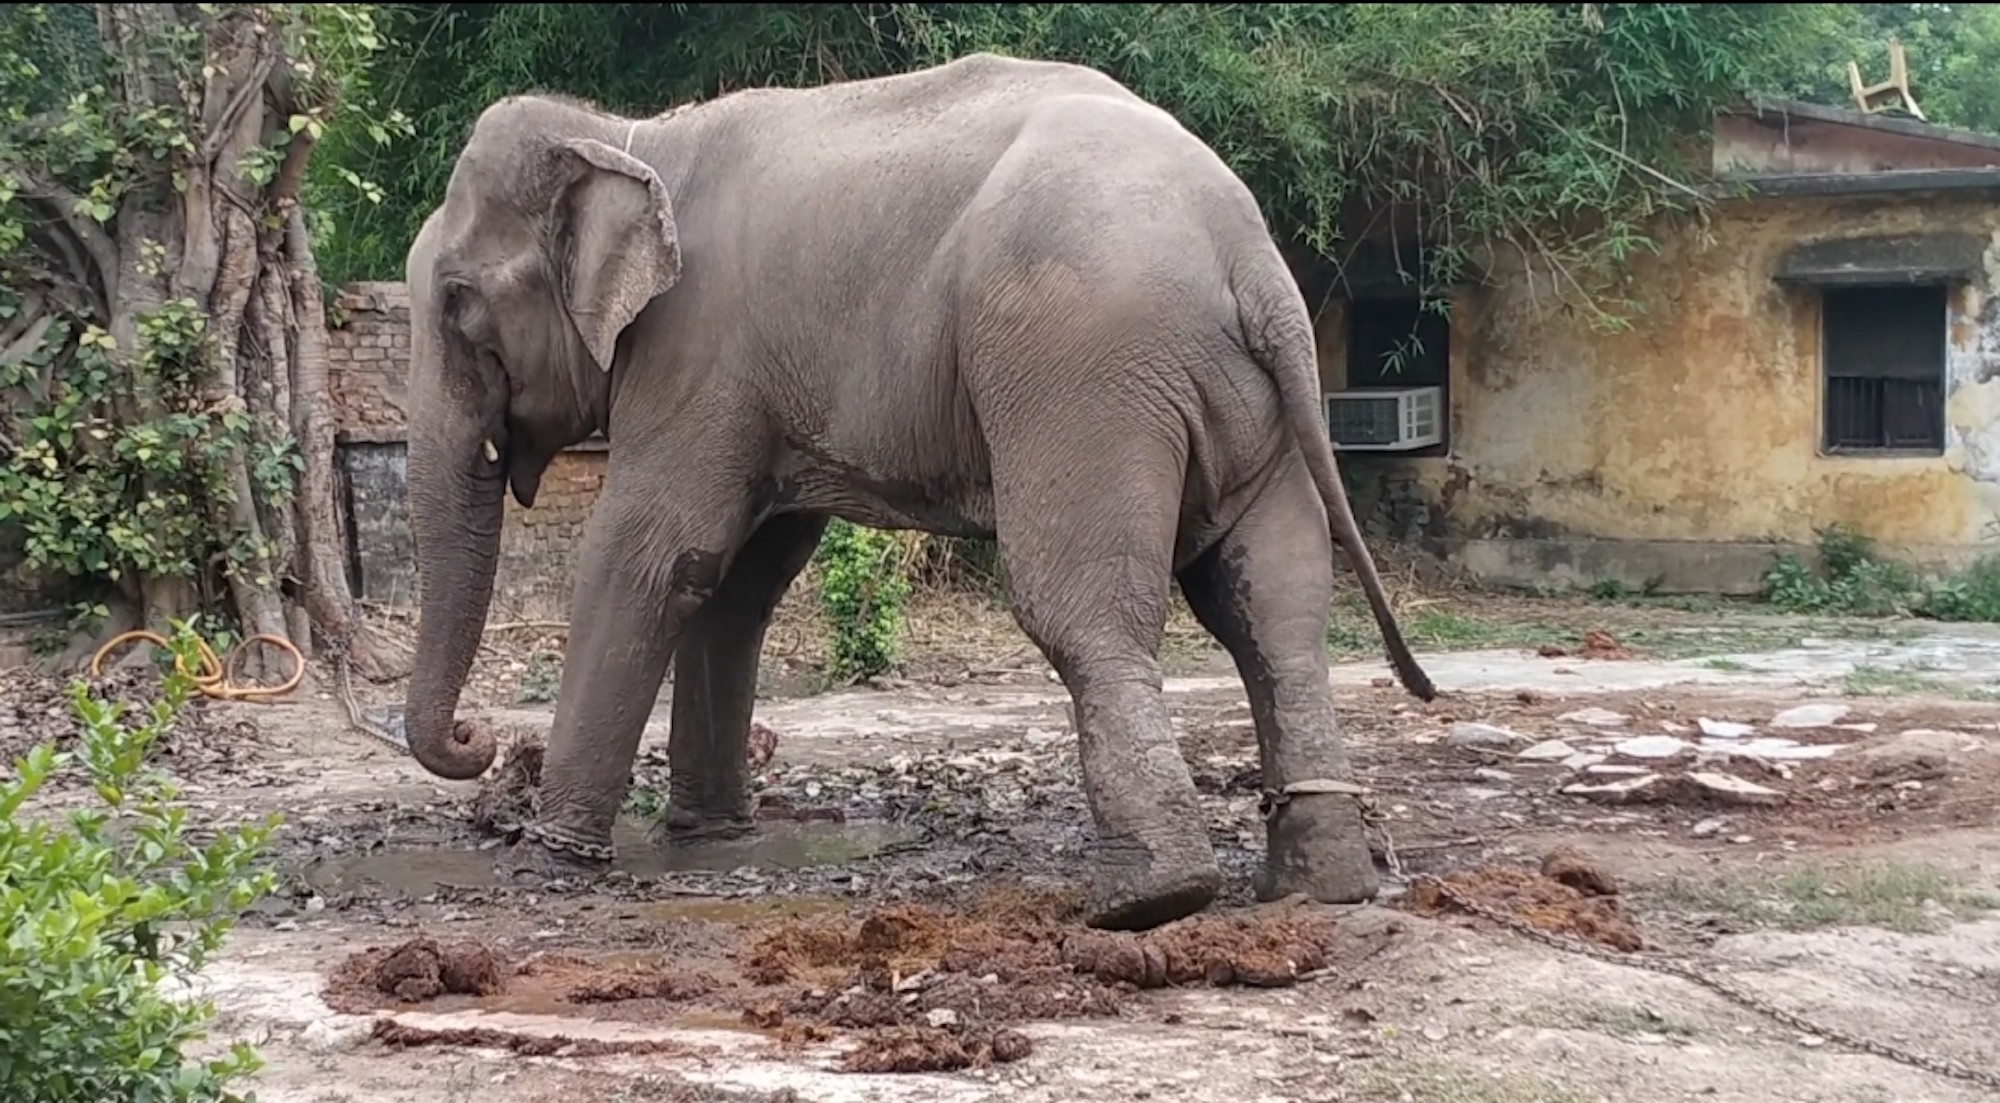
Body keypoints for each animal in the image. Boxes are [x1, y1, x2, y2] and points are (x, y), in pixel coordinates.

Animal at [398, 51, 1440, 931]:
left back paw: (1148, 902)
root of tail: (1251, 256)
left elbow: (655, 555)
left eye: (456, 302)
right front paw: (709, 838)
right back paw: (1319, 887)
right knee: (1275, 607)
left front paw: (548, 856)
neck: (629, 135)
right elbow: (738, 578)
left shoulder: (697, 352)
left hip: (1083, 372)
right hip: (1244, 406)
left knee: (1082, 609)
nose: (479, 738)